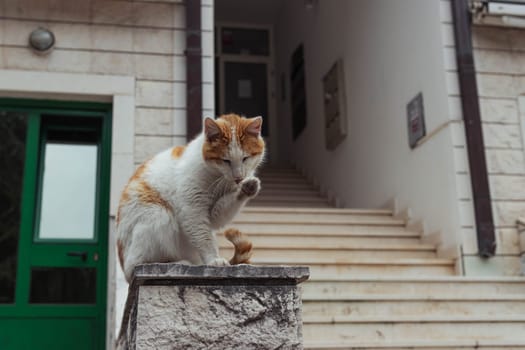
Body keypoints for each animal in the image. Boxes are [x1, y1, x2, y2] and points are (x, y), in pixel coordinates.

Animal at [114, 113, 262, 284]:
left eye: (245, 158)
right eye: (226, 160)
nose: (238, 178)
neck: (217, 177)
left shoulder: (214, 213)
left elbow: (221, 212)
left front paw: (248, 187)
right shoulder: (192, 208)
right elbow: (203, 238)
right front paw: (213, 260)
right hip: (158, 214)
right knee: (137, 263)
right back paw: (177, 263)